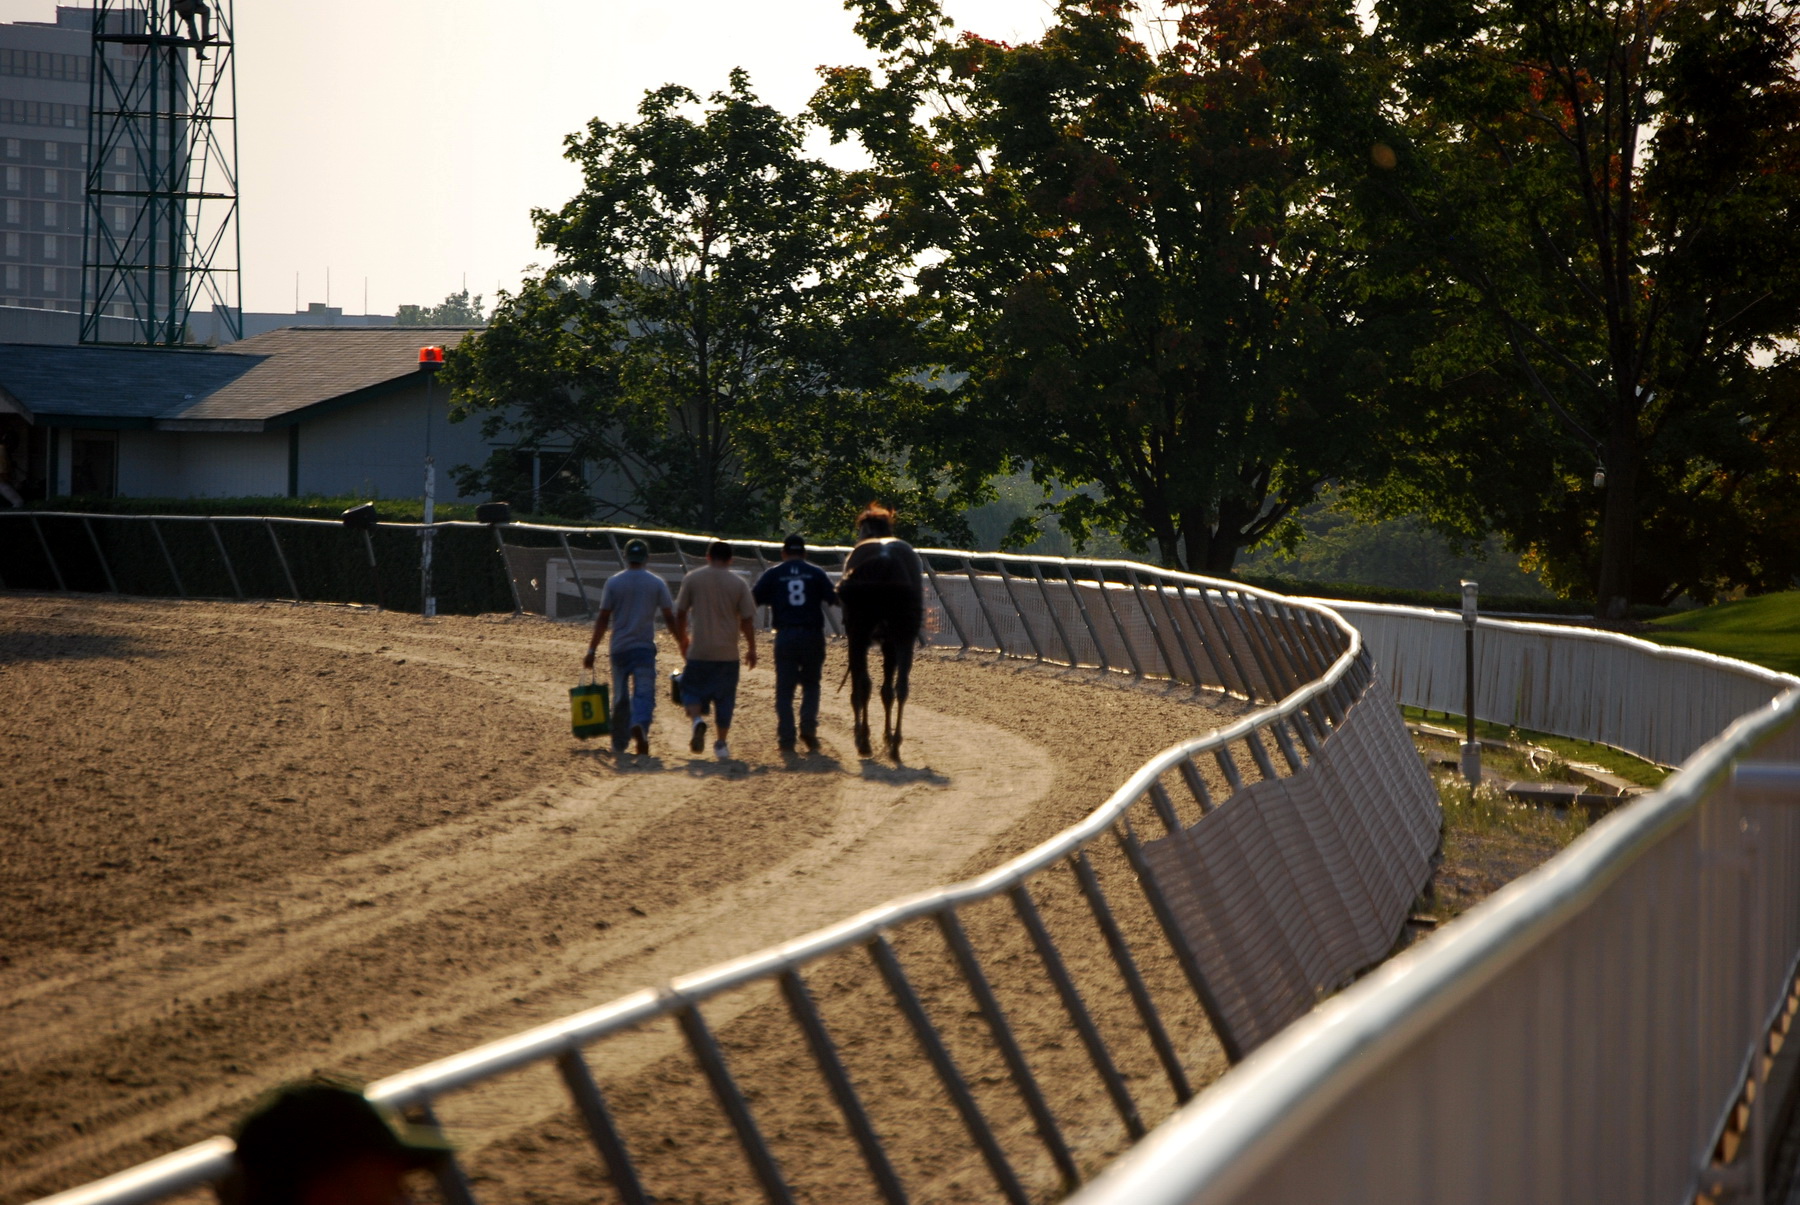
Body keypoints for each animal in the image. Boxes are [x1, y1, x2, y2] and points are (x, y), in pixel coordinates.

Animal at [838, 503, 924, 761]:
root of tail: (885, 561)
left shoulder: (857, 638)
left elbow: (860, 686)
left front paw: (862, 735)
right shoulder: (890, 643)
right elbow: (887, 691)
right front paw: (887, 736)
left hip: (860, 633)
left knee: (864, 685)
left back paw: (864, 741)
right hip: (904, 636)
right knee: (901, 687)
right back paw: (895, 744)